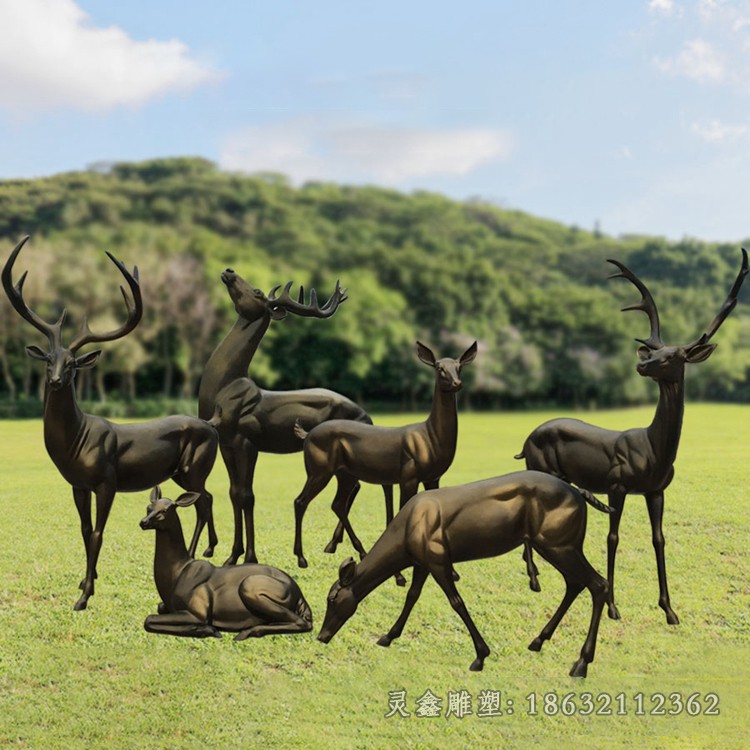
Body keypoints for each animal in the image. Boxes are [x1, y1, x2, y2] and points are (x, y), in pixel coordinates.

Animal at [2, 238, 219, 612]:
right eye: (48, 360)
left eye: (73, 363)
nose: (55, 380)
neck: (76, 441)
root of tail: (214, 425)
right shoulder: (77, 483)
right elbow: (84, 530)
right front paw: (85, 580)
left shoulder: (107, 480)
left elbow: (99, 533)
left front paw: (84, 596)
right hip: (185, 471)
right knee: (208, 499)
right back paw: (210, 550)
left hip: (196, 466)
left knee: (203, 502)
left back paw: (196, 555)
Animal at [140, 488, 312, 640]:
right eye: (149, 507)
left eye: (165, 510)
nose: (143, 522)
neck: (177, 570)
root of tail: (299, 595)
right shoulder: (168, 605)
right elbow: (156, 611)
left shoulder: (199, 610)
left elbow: (148, 619)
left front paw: (208, 630)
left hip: (250, 587)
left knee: (302, 622)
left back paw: (244, 632)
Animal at [292, 340, 476, 568]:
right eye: (439, 368)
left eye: (459, 367)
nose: (457, 383)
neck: (431, 437)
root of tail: (307, 434)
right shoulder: (409, 475)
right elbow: (402, 509)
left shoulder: (433, 477)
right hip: (318, 470)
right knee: (300, 501)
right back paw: (302, 558)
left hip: (345, 474)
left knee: (337, 504)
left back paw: (360, 552)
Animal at [320, 472, 612, 680]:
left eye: (332, 599)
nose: (322, 636)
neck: (405, 532)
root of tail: (579, 493)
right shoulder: (423, 562)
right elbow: (412, 595)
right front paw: (388, 636)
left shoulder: (438, 559)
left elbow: (456, 602)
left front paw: (481, 656)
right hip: (559, 545)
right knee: (576, 583)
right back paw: (538, 641)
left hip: (560, 544)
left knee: (598, 584)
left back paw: (581, 663)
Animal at [520, 250, 748, 624]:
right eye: (654, 352)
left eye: (675, 356)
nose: (642, 365)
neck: (655, 451)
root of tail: (524, 442)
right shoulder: (617, 483)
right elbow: (612, 537)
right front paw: (614, 606)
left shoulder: (656, 490)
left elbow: (659, 539)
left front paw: (669, 609)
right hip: (540, 469)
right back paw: (535, 579)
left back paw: (535, 577)